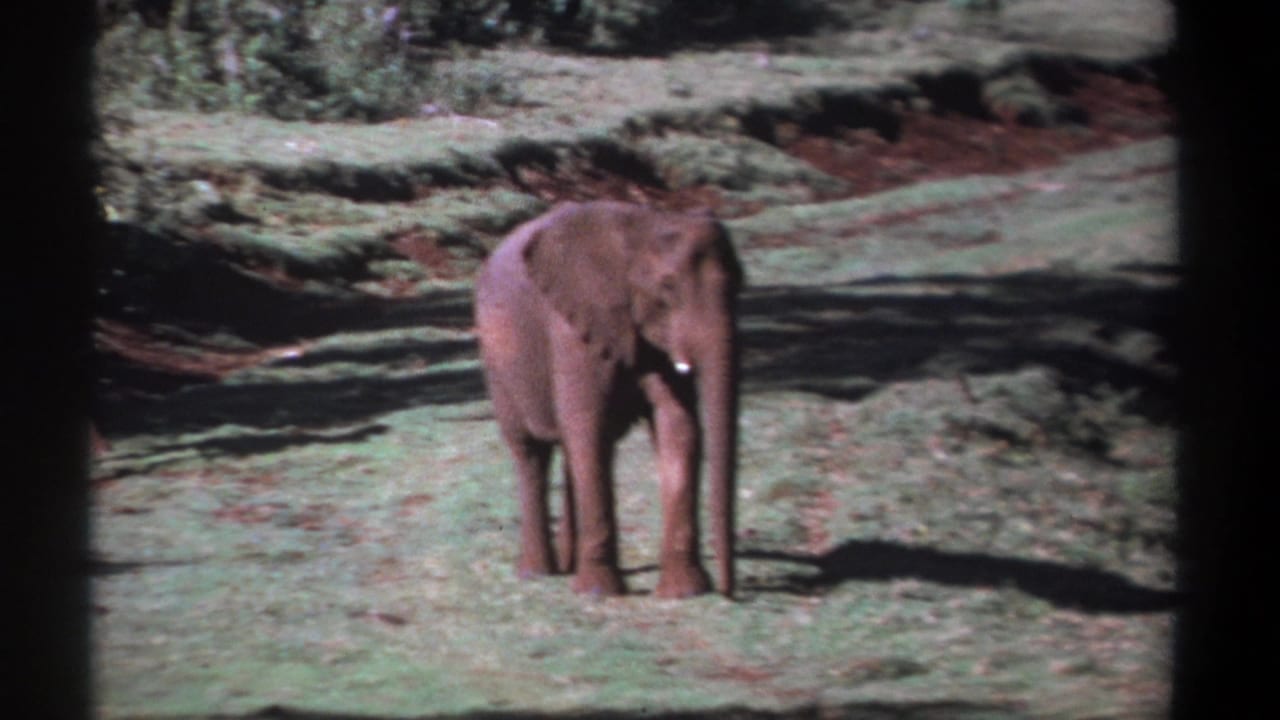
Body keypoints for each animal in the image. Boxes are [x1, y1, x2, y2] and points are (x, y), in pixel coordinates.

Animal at [474, 200, 743, 599]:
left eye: (741, 283)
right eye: (667, 286)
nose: (729, 591)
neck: (645, 225)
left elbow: (678, 425)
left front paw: (684, 592)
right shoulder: (572, 326)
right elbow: (589, 427)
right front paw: (599, 593)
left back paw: (567, 567)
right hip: (498, 365)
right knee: (532, 453)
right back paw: (538, 574)